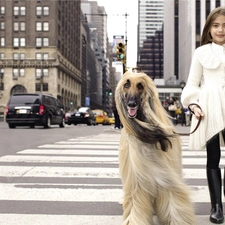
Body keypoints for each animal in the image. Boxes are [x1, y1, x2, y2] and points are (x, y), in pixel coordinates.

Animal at [115, 71, 196, 225]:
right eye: (126, 85)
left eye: (140, 86)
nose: (131, 104)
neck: (147, 136)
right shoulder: (136, 178)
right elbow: (135, 202)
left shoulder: (166, 175)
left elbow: (172, 198)